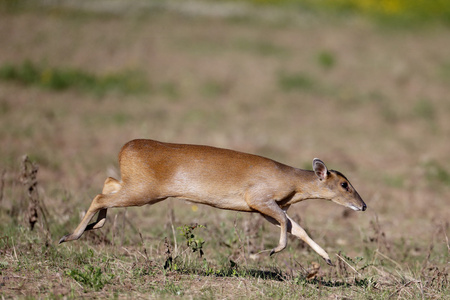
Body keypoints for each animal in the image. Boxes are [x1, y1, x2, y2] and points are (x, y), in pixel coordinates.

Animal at [59, 139, 366, 264]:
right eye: (344, 184)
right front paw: (270, 251)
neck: (292, 182)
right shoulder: (259, 199)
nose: (363, 206)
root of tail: (124, 149)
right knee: (100, 195)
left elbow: (297, 228)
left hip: (136, 185)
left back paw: (93, 227)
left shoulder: (268, 207)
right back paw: (70, 236)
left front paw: (327, 258)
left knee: (108, 183)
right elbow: (286, 226)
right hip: (145, 191)